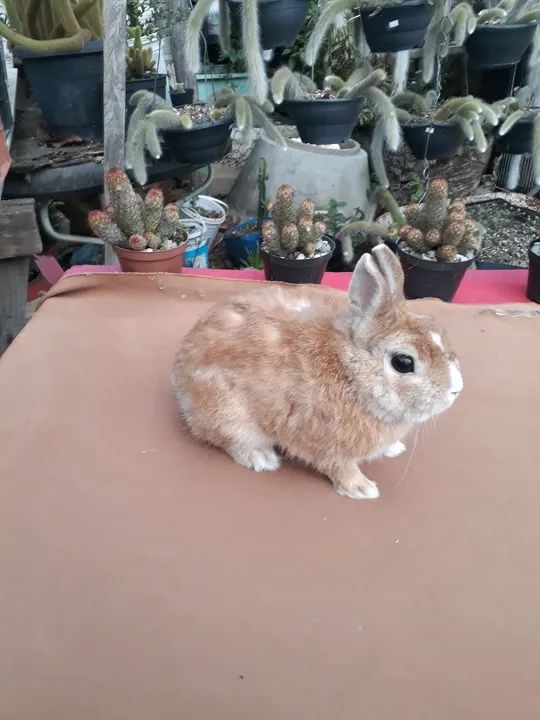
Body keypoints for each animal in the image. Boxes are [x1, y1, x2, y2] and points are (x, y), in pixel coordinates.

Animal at [172, 244, 463, 499]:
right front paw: (362, 489)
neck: (351, 375)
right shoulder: (330, 447)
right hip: (228, 414)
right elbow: (341, 468)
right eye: (403, 362)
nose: (456, 390)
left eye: (437, 328)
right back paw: (262, 458)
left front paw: (394, 448)